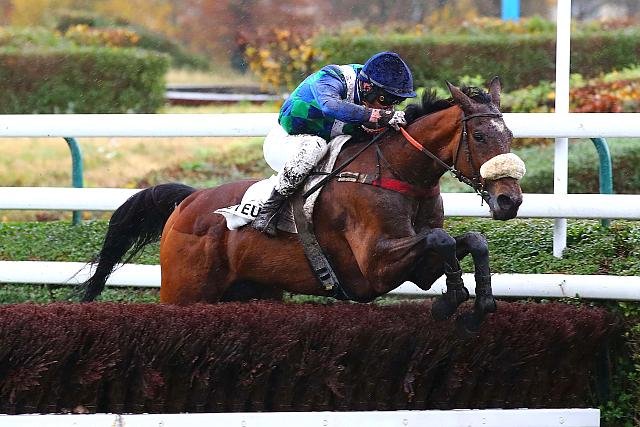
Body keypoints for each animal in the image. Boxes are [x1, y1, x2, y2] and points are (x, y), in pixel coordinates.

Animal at [80, 77, 524, 332]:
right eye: (480, 136)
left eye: (510, 135)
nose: (510, 200)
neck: (399, 173)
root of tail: (188, 200)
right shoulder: (375, 265)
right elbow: (441, 240)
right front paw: (451, 300)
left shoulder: (418, 269)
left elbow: (470, 239)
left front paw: (481, 302)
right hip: (183, 292)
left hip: (253, 291)